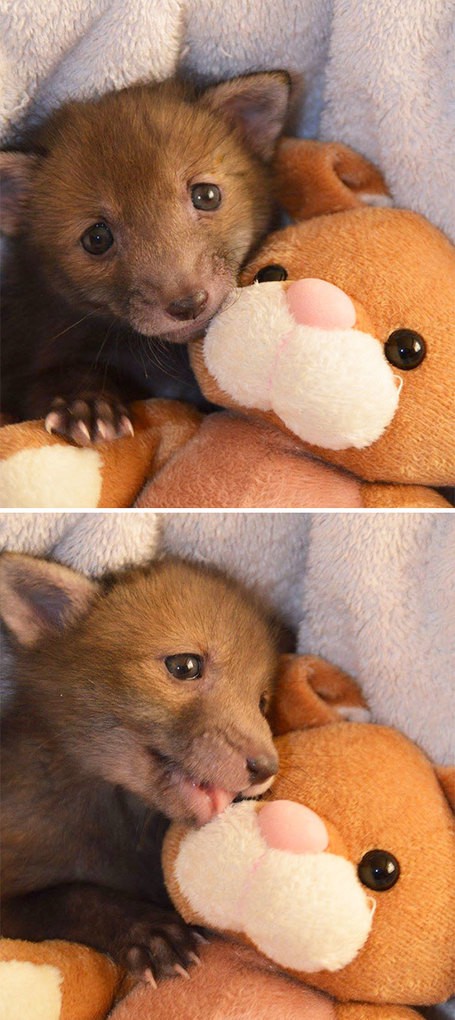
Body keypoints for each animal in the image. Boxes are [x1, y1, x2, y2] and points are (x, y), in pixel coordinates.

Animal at [0, 69, 289, 440]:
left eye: (206, 195)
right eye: (97, 238)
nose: (187, 304)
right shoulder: (27, 352)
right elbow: (56, 378)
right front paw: (86, 405)